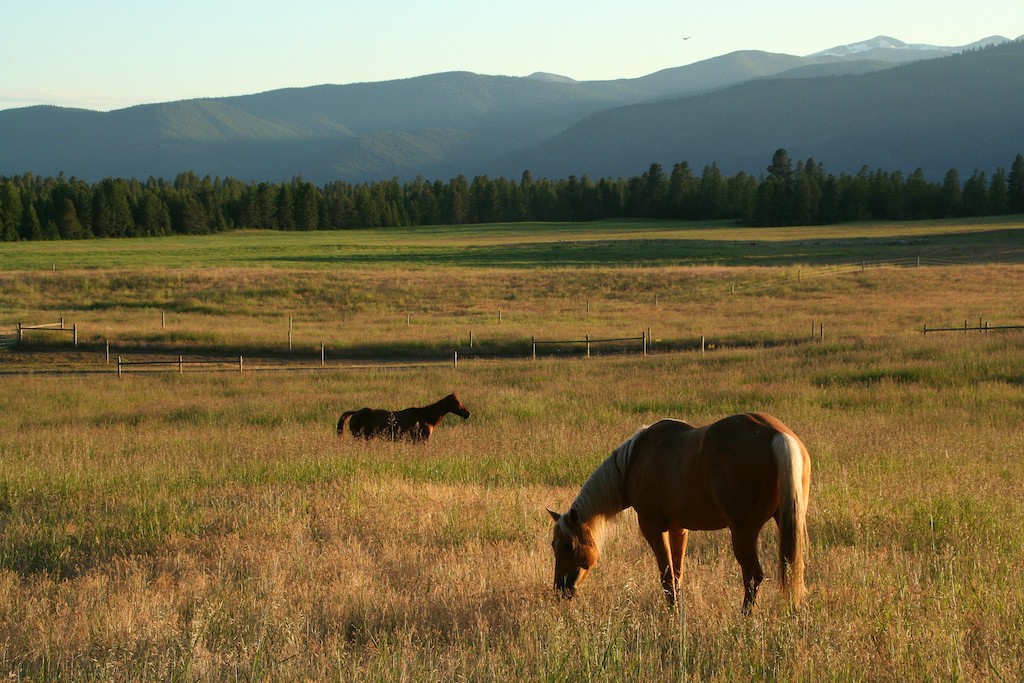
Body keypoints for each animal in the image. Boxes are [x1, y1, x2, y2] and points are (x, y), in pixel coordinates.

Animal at [548, 413, 811, 610]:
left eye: (567, 546)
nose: (561, 590)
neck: (634, 461)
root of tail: (778, 435)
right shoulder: (679, 529)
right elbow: (677, 573)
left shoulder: (652, 528)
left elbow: (666, 576)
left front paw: (672, 613)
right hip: (786, 523)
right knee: (791, 569)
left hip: (743, 532)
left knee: (753, 575)